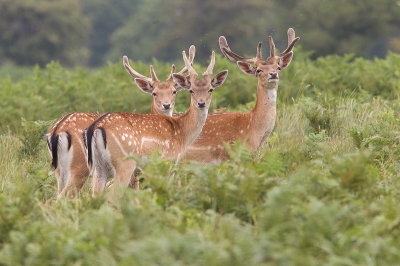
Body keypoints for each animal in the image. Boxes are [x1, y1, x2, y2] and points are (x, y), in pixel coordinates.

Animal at [45, 51, 194, 198]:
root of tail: (56, 131)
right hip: (81, 166)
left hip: (60, 171)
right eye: (154, 93)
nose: (166, 105)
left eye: (174, 91)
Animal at [84, 46, 228, 194]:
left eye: (211, 89)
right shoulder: (168, 160)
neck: (182, 133)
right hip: (124, 163)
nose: (201, 103)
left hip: (98, 167)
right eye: (191, 90)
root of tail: (96, 128)